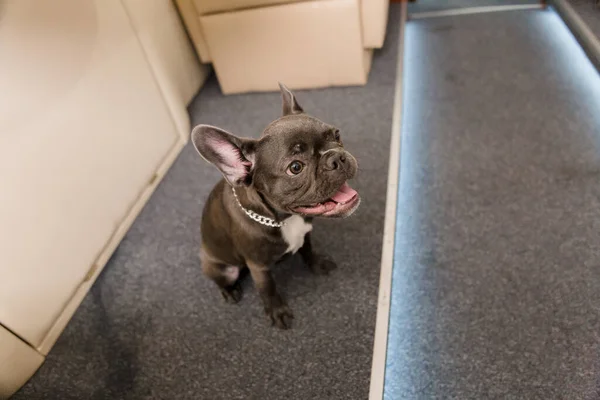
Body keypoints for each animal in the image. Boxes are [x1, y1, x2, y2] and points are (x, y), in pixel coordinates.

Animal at [192, 83, 360, 328]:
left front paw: (317, 264)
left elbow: (308, 250)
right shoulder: (258, 266)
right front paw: (277, 311)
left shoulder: (305, 234)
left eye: (336, 135)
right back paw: (229, 291)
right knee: (223, 279)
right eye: (296, 167)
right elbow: (267, 289)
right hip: (221, 268)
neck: (283, 219)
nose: (336, 157)